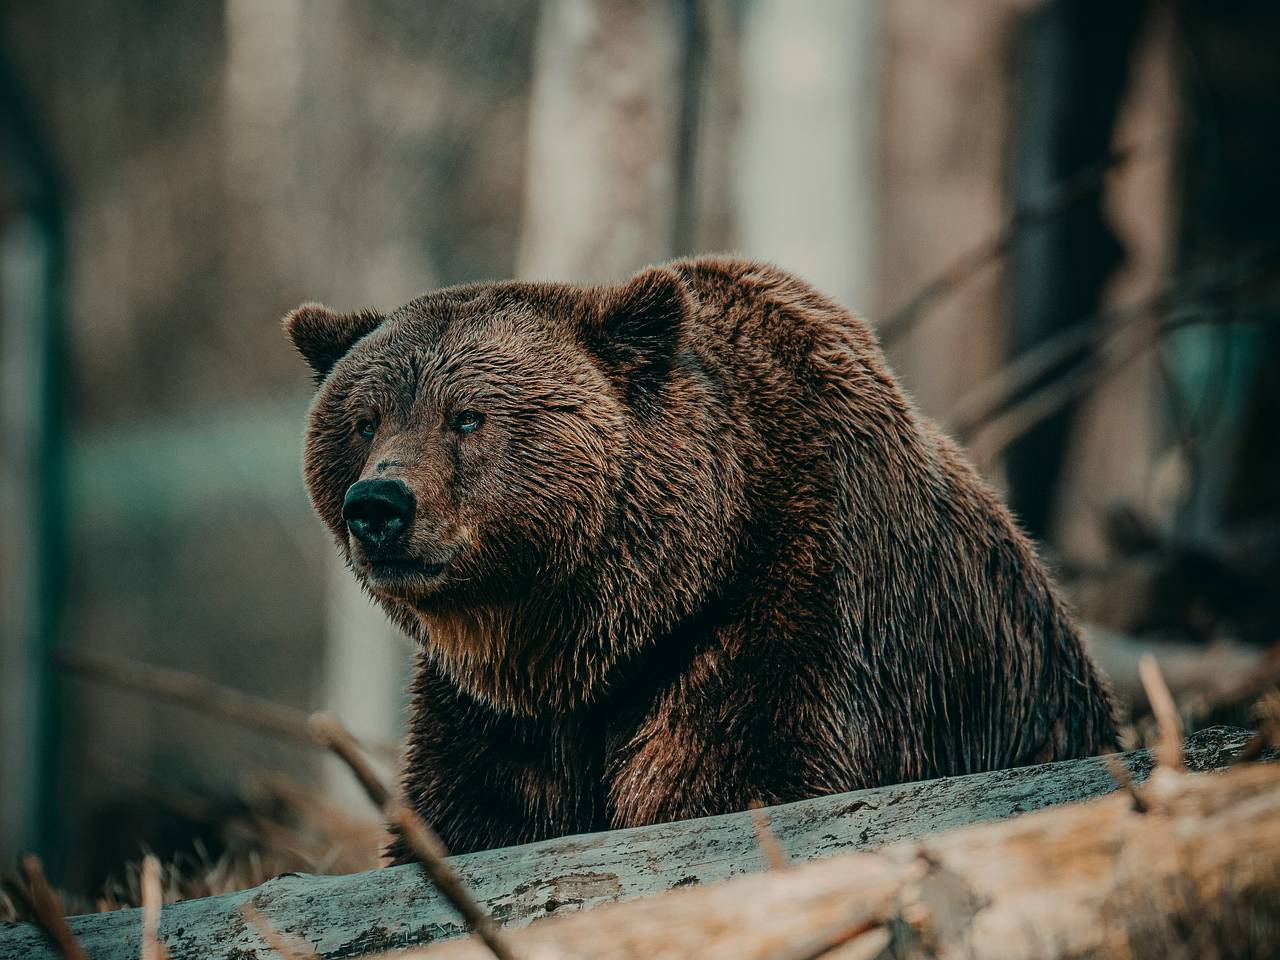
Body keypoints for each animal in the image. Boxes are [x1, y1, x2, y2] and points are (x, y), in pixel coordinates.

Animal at [285, 259, 1116, 860]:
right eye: (364, 420)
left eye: (467, 417)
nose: (379, 506)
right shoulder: (499, 713)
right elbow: (471, 815)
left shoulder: (797, 608)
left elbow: (739, 778)